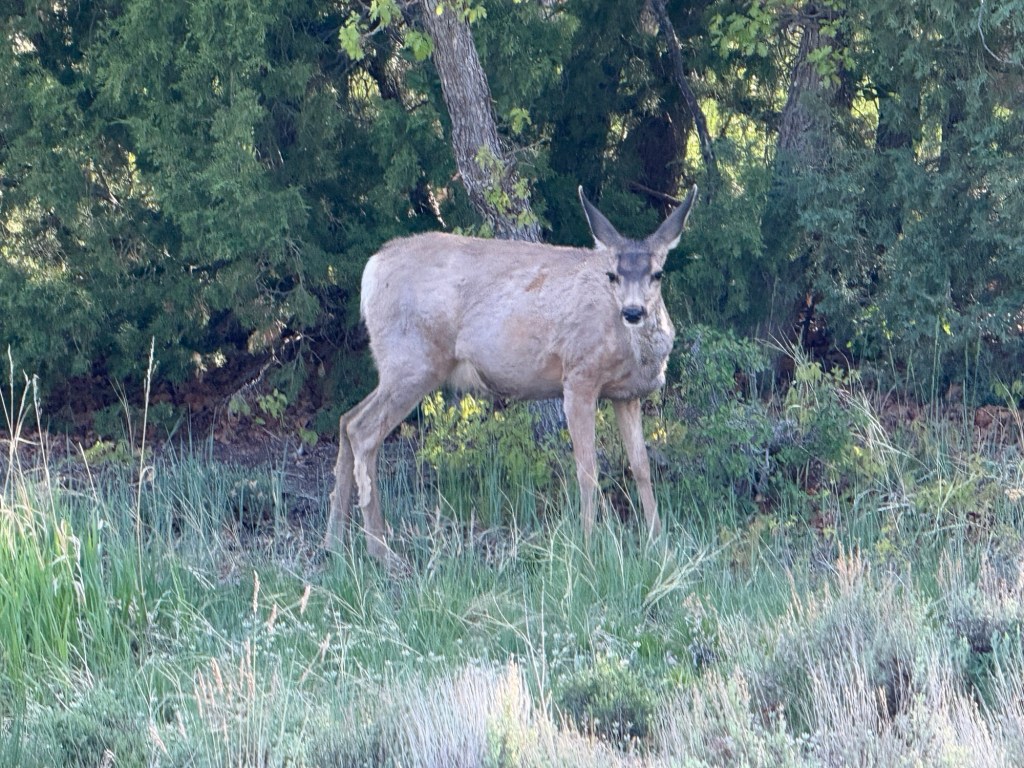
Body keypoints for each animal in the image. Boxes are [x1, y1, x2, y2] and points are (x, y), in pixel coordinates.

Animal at [326, 185, 698, 564]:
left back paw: (335, 542)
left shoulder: (626, 394)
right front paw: (587, 546)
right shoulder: (579, 376)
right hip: (414, 360)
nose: (633, 311)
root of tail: (372, 269)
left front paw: (659, 543)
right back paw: (380, 550)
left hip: (399, 365)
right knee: (363, 430)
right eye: (612, 275)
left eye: (657, 274)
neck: (632, 351)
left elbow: (641, 466)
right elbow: (588, 470)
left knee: (346, 419)